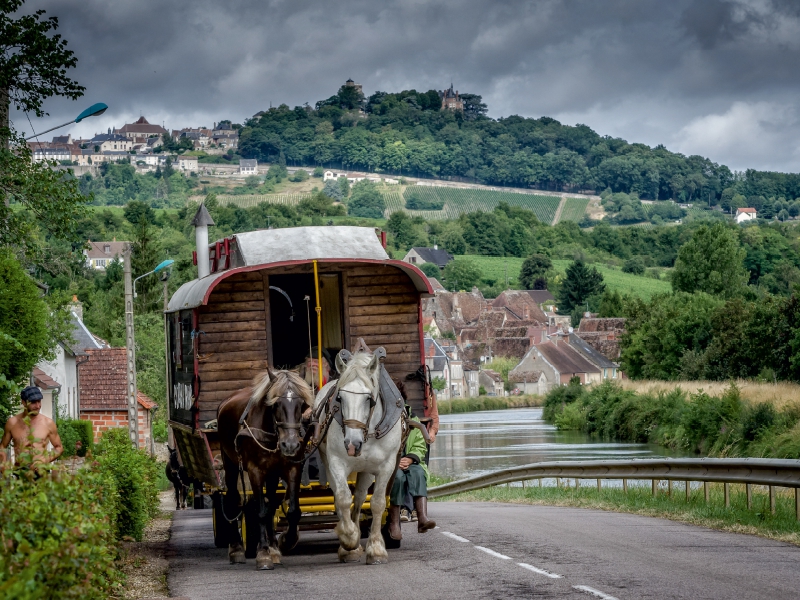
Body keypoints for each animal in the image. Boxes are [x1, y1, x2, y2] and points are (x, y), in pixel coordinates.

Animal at [217, 368, 314, 568]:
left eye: (301, 404)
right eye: (275, 404)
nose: (290, 445)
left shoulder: (292, 468)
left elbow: (292, 511)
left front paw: (285, 541)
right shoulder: (255, 471)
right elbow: (260, 511)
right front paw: (263, 553)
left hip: (272, 474)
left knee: (271, 503)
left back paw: (273, 547)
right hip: (230, 464)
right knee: (232, 499)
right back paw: (236, 549)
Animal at [312, 350, 400, 564]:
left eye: (369, 399)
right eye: (340, 397)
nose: (352, 444)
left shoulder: (386, 465)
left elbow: (377, 503)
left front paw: (376, 548)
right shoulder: (336, 462)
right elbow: (343, 498)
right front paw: (349, 540)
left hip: (366, 470)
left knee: (360, 499)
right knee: (341, 497)